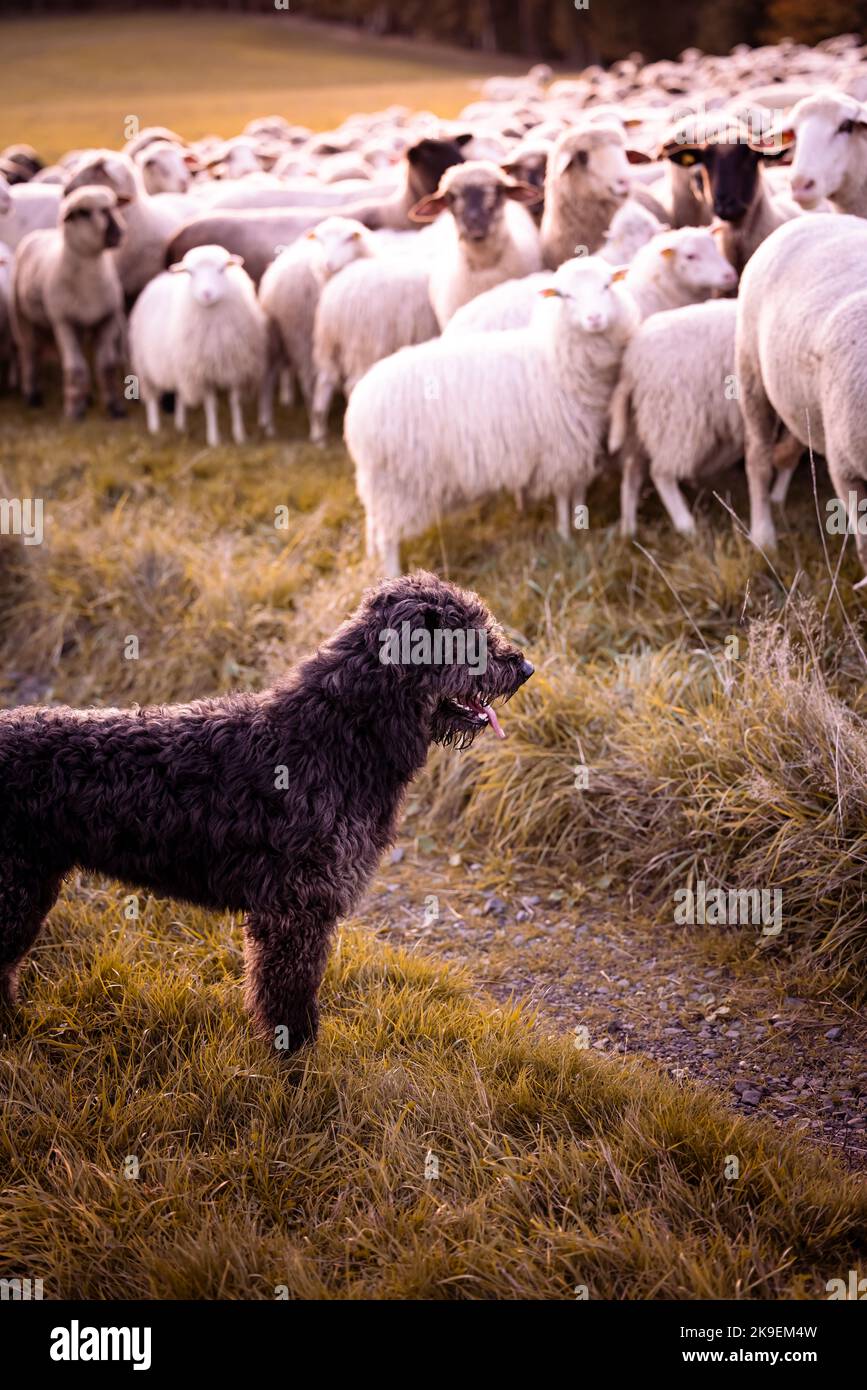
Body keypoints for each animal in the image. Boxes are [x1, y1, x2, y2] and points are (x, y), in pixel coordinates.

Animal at [0, 569, 527, 1045]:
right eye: (466, 633)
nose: (524, 668)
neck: (335, 736)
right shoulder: (296, 909)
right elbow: (289, 996)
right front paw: (298, 1064)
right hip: (17, 890)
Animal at [11, 187, 126, 419]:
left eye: (114, 206)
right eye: (85, 213)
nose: (120, 233)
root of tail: (40, 233)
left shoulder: (107, 319)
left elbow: (107, 365)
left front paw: (114, 408)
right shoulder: (63, 322)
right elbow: (74, 366)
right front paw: (74, 412)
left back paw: (87, 397)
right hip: (23, 318)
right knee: (30, 353)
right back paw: (32, 395)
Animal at [129, 241, 268, 447]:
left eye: (222, 269)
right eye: (191, 272)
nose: (207, 293)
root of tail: (160, 278)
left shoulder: (235, 368)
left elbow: (235, 402)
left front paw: (239, 435)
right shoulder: (203, 373)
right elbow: (211, 405)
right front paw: (214, 439)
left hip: (179, 363)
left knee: (179, 394)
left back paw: (180, 424)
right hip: (144, 364)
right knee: (152, 397)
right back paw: (155, 427)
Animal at [341, 252, 639, 572]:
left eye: (607, 286)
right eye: (565, 295)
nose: (595, 319)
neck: (556, 359)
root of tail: (356, 410)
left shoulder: (577, 440)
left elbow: (578, 490)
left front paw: (576, 522)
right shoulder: (559, 446)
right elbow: (563, 494)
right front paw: (565, 535)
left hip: (377, 482)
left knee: (373, 521)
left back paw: (371, 555)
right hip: (397, 485)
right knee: (388, 537)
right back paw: (391, 571)